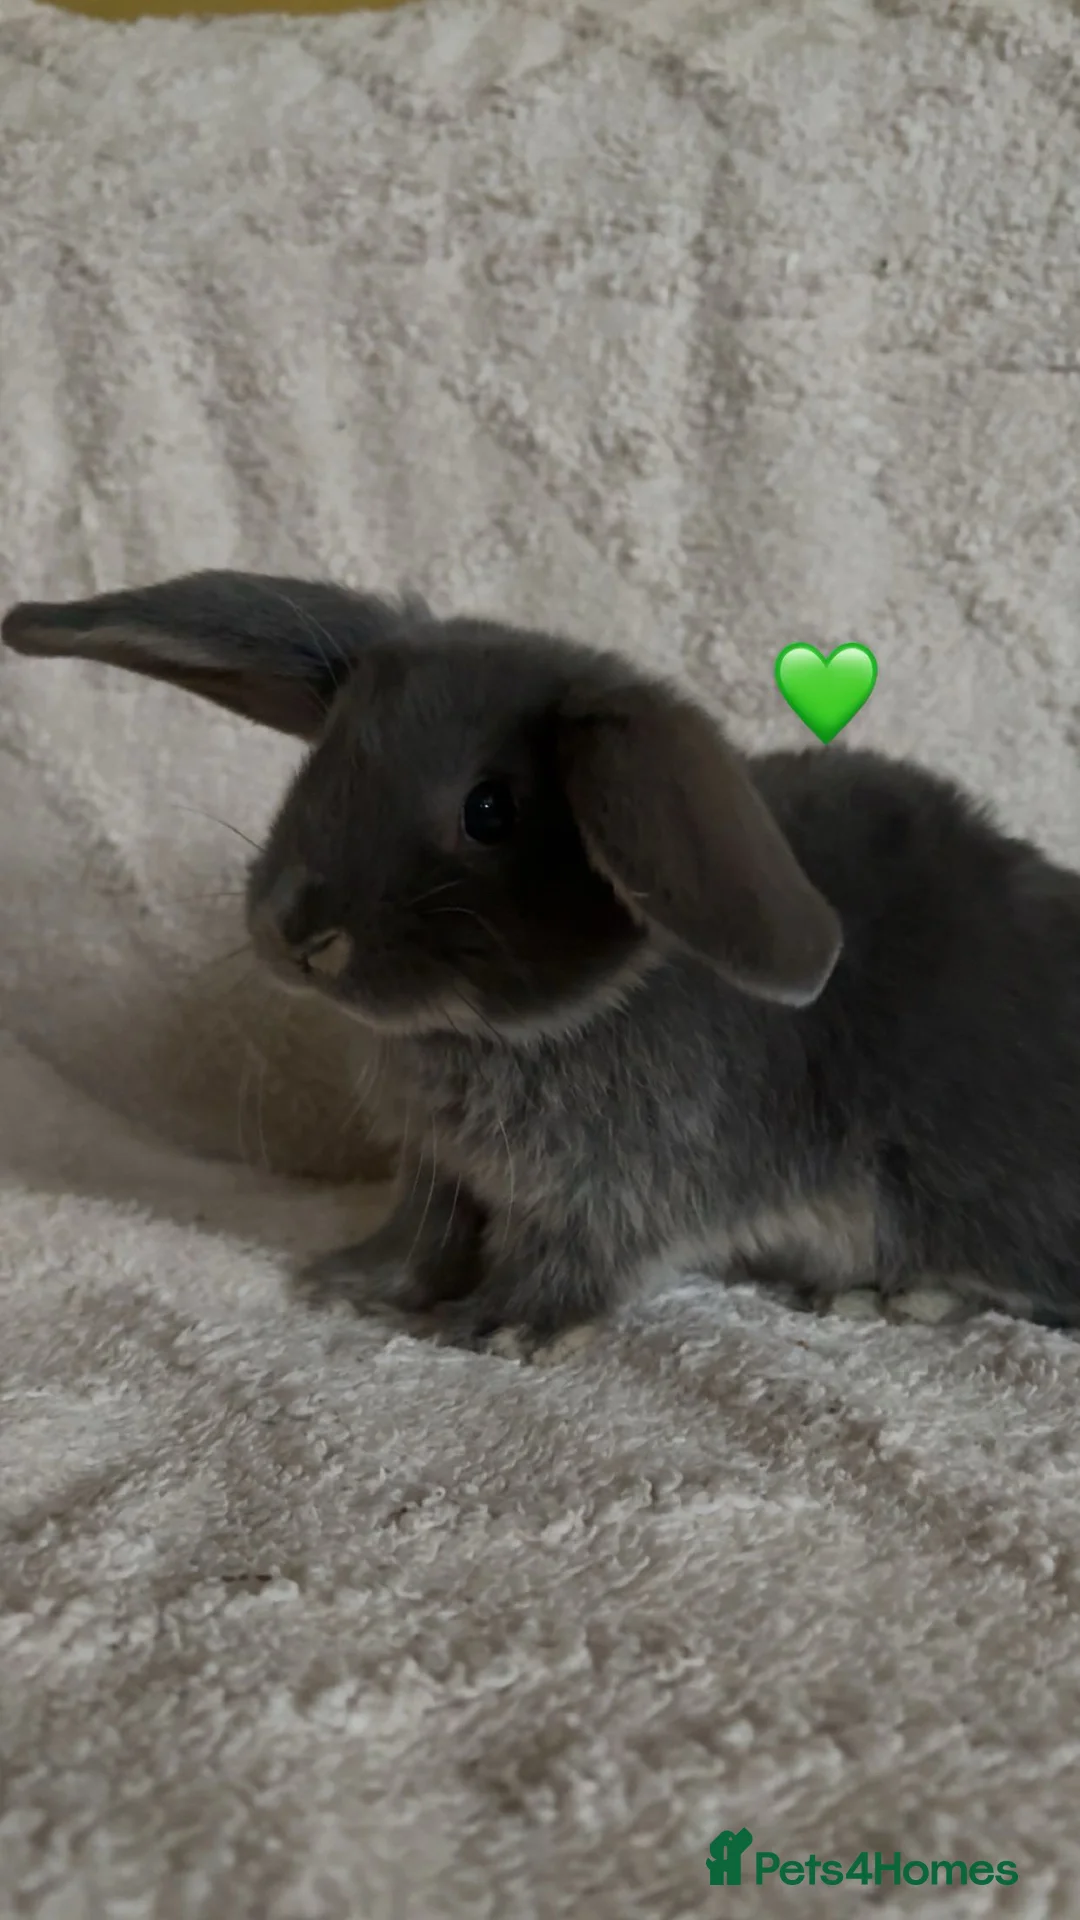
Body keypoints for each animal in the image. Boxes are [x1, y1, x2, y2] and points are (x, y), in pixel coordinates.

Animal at [6, 570, 1080, 1357]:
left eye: (491, 811)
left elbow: (575, 1261)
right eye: (324, 759)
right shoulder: (443, 1172)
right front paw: (355, 1283)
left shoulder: (620, 1189)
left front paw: (498, 1327)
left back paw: (897, 1299)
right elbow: (424, 1234)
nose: (296, 932)